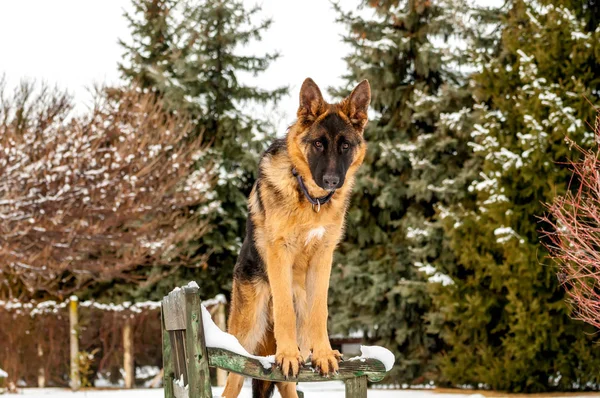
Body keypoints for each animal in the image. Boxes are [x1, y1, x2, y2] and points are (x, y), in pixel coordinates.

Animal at [221, 78, 368, 398]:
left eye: (345, 146)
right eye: (318, 144)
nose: (331, 181)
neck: (311, 200)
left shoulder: (324, 256)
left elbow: (320, 310)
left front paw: (324, 353)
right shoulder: (280, 252)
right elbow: (284, 310)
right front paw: (287, 354)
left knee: (287, 382)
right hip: (246, 335)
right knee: (233, 381)